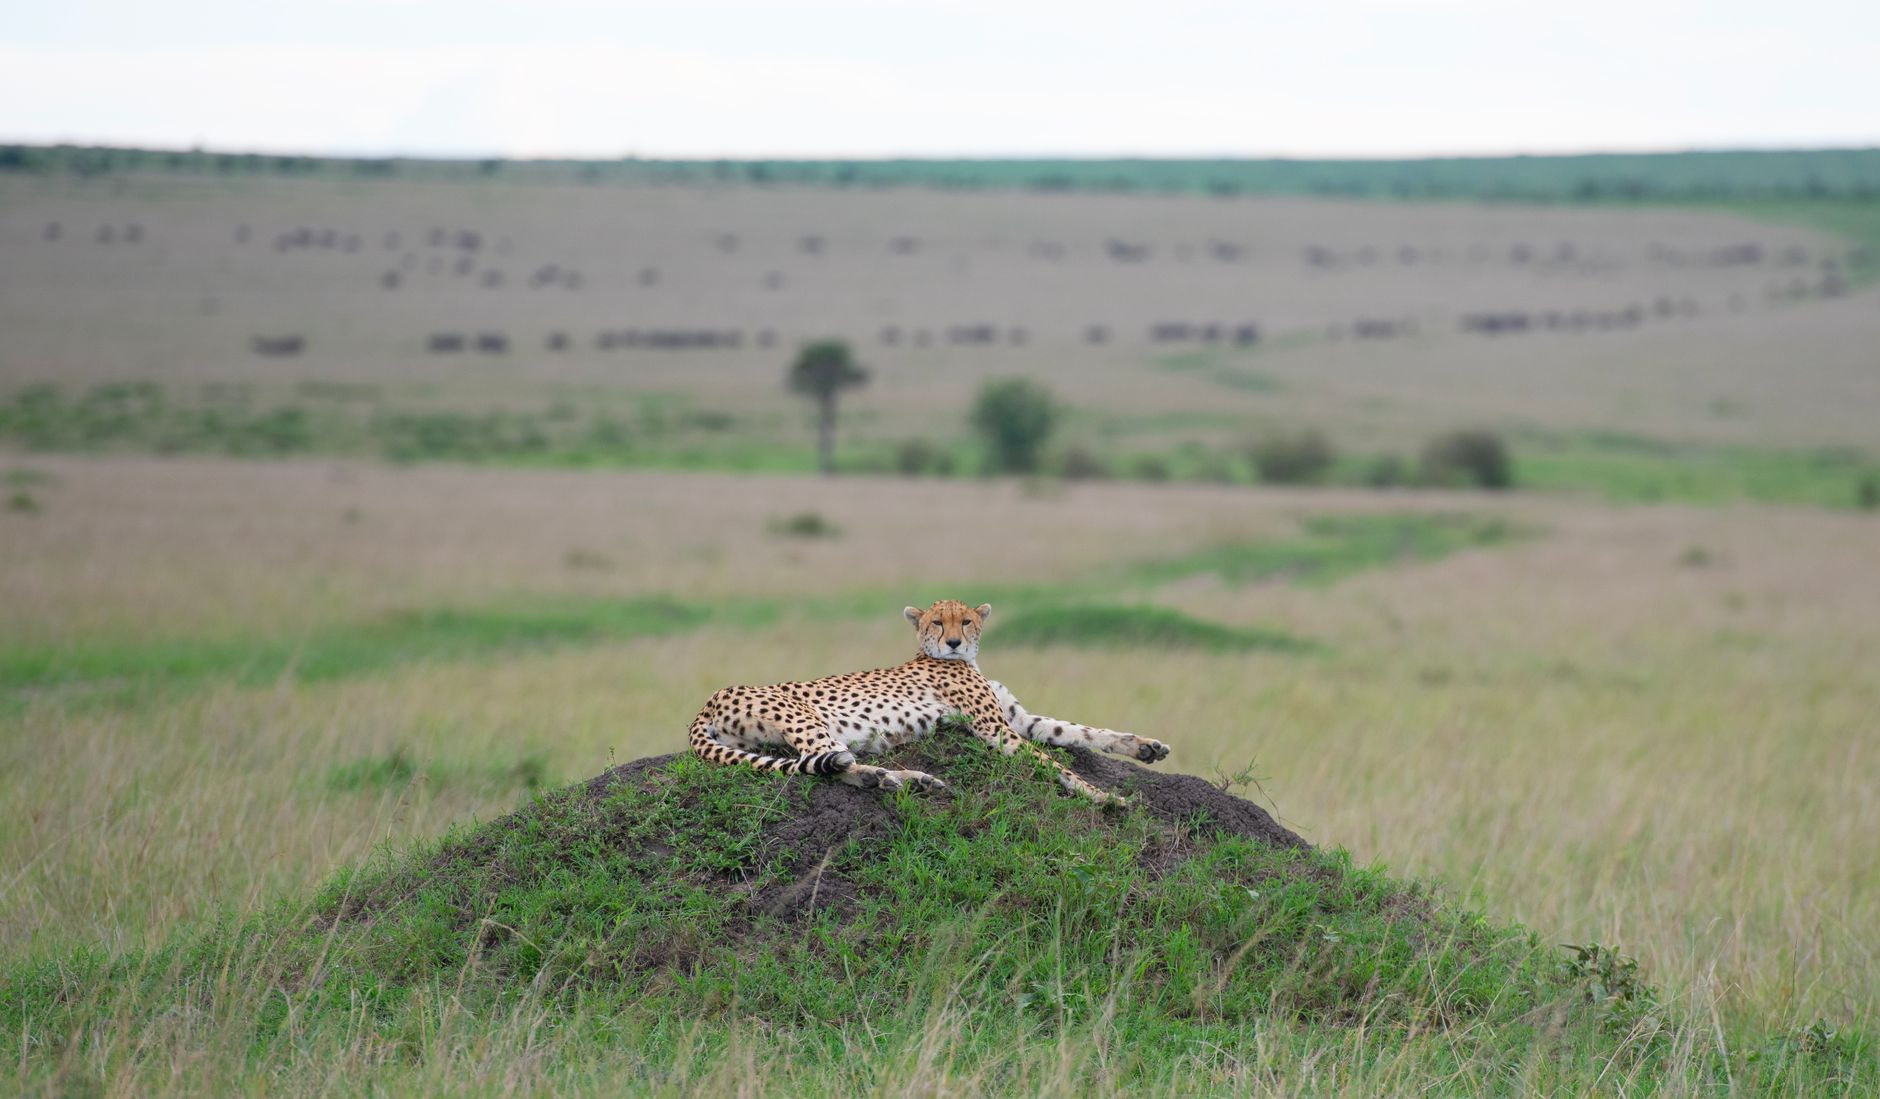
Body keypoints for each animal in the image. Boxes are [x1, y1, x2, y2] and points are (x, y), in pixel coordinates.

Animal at [686, 599, 1172, 806]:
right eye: (938, 622)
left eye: (967, 621)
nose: (954, 641)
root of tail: (709, 700)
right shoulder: (997, 729)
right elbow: (1055, 764)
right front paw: (1103, 796)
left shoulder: (1019, 720)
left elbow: (1079, 731)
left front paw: (1145, 746)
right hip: (805, 717)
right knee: (831, 761)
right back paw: (899, 778)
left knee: (824, 762)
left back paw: (897, 780)